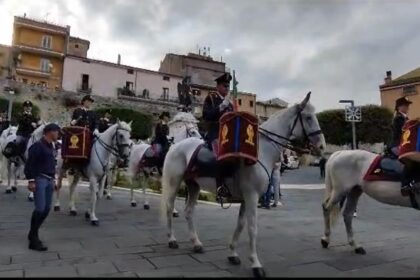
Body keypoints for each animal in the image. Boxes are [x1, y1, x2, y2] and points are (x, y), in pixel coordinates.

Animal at [161, 93, 324, 276]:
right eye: (308, 117)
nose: (321, 146)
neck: (261, 151)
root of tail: (175, 146)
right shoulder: (252, 196)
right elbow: (252, 228)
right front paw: (256, 264)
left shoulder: (246, 198)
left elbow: (240, 225)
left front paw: (233, 254)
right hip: (174, 182)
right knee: (169, 207)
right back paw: (172, 240)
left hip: (193, 185)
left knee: (189, 212)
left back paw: (196, 243)